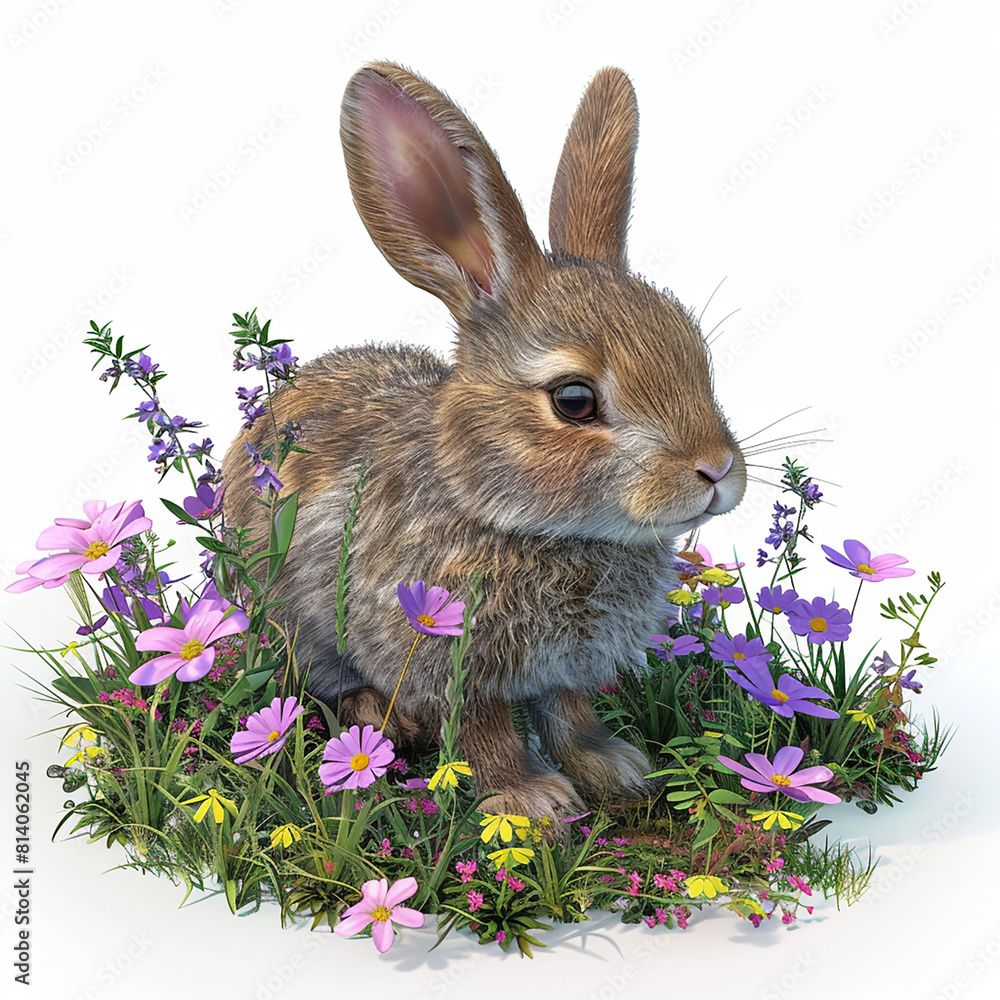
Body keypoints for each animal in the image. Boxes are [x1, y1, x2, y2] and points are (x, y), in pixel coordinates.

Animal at [221, 61, 747, 820]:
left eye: (697, 356)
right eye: (574, 401)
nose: (716, 469)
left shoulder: (565, 667)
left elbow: (568, 712)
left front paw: (614, 768)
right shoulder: (448, 654)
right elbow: (482, 728)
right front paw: (532, 803)